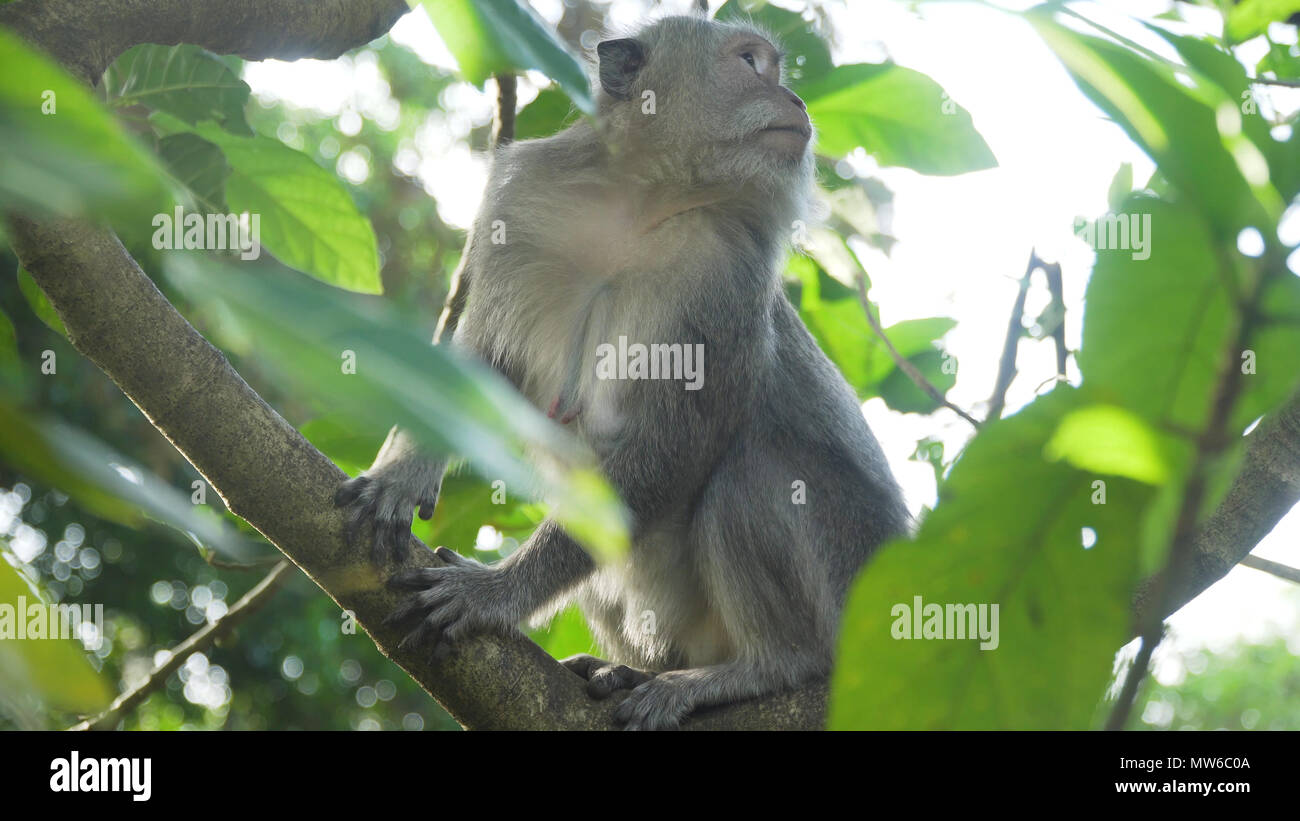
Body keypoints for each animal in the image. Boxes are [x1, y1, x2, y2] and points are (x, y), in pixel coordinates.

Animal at [334, 3, 911, 730]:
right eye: (751, 63)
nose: (798, 101)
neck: (643, 201)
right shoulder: (521, 204)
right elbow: (485, 363)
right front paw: (401, 476)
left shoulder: (729, 271)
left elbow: (678, 439)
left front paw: (497, 591)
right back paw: (636, 668)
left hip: (849, 585)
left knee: (748, 474)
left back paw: (757, 668)